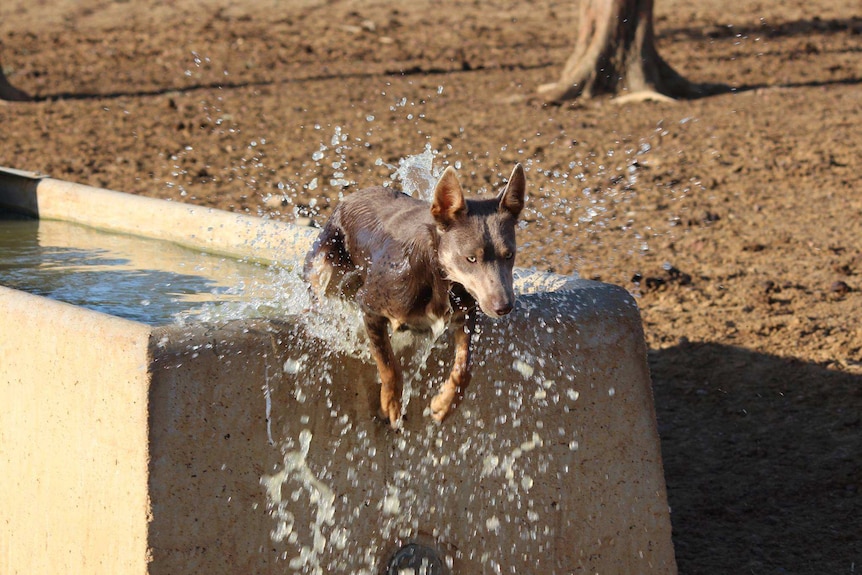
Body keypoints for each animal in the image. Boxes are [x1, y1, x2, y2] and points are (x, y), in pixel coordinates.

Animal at [304, 163, 528, 428]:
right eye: (471, 258)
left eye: (509, 255)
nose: (504, 307)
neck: (439, 276)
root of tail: (350, 197)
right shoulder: (370, 306)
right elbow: (388, 363)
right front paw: (392, 404)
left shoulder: (465, 313)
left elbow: (465, 366)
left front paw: (445, 403)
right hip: (324, 264)